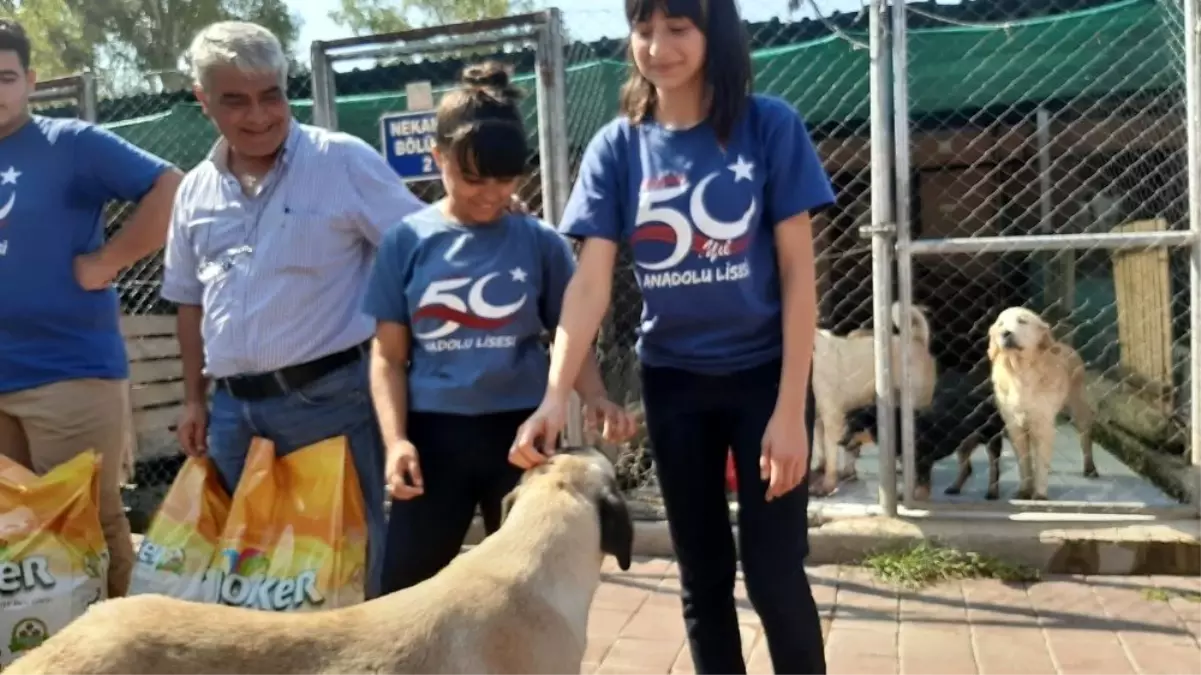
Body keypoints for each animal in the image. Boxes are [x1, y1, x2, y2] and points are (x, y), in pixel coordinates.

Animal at [807, 300, 936, 494]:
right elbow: (821, 448)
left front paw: (828, 484)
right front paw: (820, 470)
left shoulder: (832, 417)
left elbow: (830, 454)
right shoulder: (818, 419)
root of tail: (916, 339)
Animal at [984, 307, 1100, 497]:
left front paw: (1039, 495)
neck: (1020, 373)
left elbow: (1041, 463)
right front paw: (1025, 490)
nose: (1005, 333)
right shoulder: (1015, 427)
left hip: (1078, 409)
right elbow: (1024, 463)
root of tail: (1065, 345)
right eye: (1000, 324)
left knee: (1085, 438)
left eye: (1022, 321)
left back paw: (1090, 468)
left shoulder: (1043, 424)